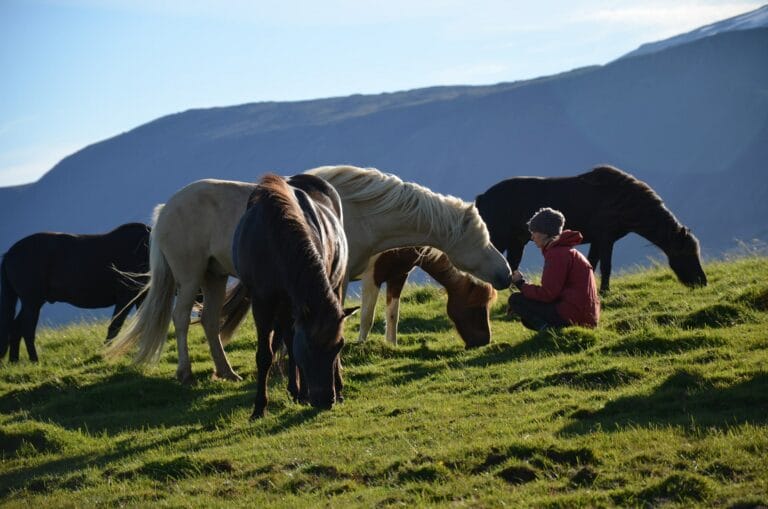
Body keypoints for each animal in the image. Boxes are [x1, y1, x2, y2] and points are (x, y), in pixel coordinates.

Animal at [0, 222, 150, 362]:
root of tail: (9, 254)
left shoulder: (141, 297)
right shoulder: (126, 296)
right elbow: (115, 325)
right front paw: (105, 352)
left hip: (32, 302)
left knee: (15, 327)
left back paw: (14, 361)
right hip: (32, 301)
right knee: (27, 329)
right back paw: (34, 360)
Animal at [103, 165, 510, 382]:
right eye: (481, 238)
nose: (506, 275)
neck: (359, 210)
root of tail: (166, 209)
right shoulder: (337, 281)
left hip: (213, 276)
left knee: (208, 321)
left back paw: (228, 372)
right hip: (189, 277)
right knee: (181, 318)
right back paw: (186, 372)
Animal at [232, 173, 356, 418]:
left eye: (340, 346)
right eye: (309, 346)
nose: (326, 400)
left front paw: (306, 393)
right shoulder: (262, 302)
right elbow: (266, 355)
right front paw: (259, 408)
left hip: (331, 288)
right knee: (288, 341)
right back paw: (297, 391)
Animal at [474, 166, 708, 292]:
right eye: (687, 255)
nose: (702, 282)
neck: (626, 201)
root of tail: (482, 198)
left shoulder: (596, 240)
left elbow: (591, 263)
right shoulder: (606, 238)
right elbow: (606, 266)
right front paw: (605, 290)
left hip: (517, 241)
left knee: (511, 264)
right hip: (499, 238)